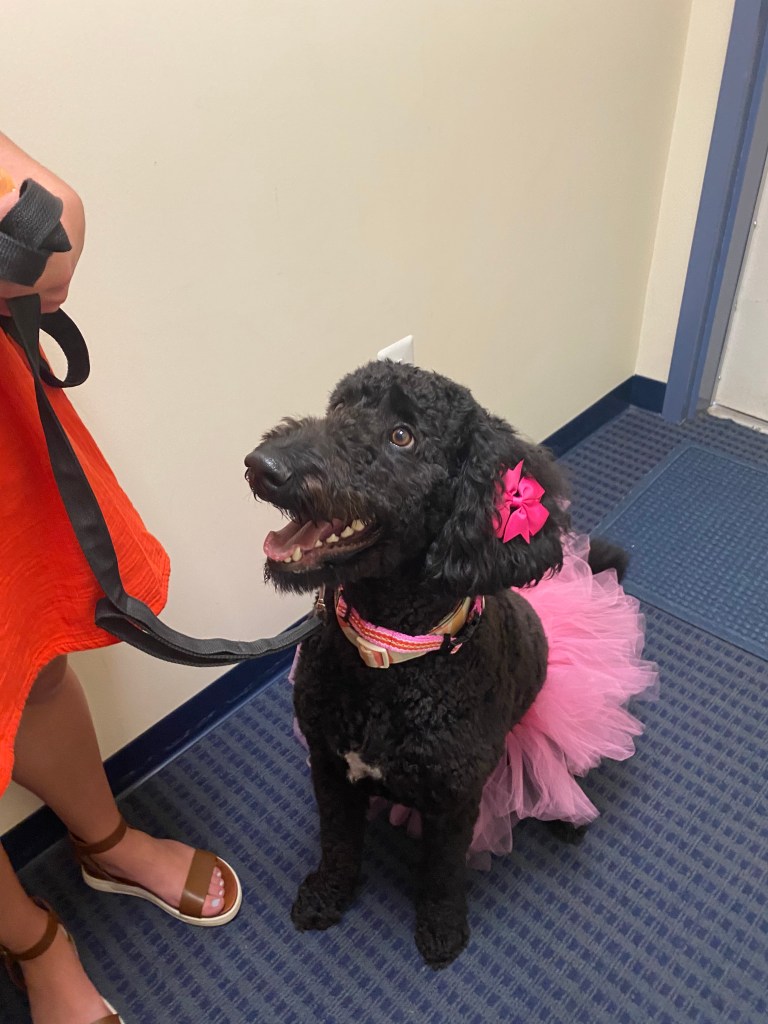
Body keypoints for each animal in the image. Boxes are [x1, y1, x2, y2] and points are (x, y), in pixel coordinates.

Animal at [245, 360, 655, 968]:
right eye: (340, 406)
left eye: (402, 436)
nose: (264, 465)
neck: (389, 654)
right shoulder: (330, 766)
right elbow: (338, 841)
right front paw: (326, 895)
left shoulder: (454, 800)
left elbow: (442, 872)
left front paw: (441, 931)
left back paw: (567, 815)